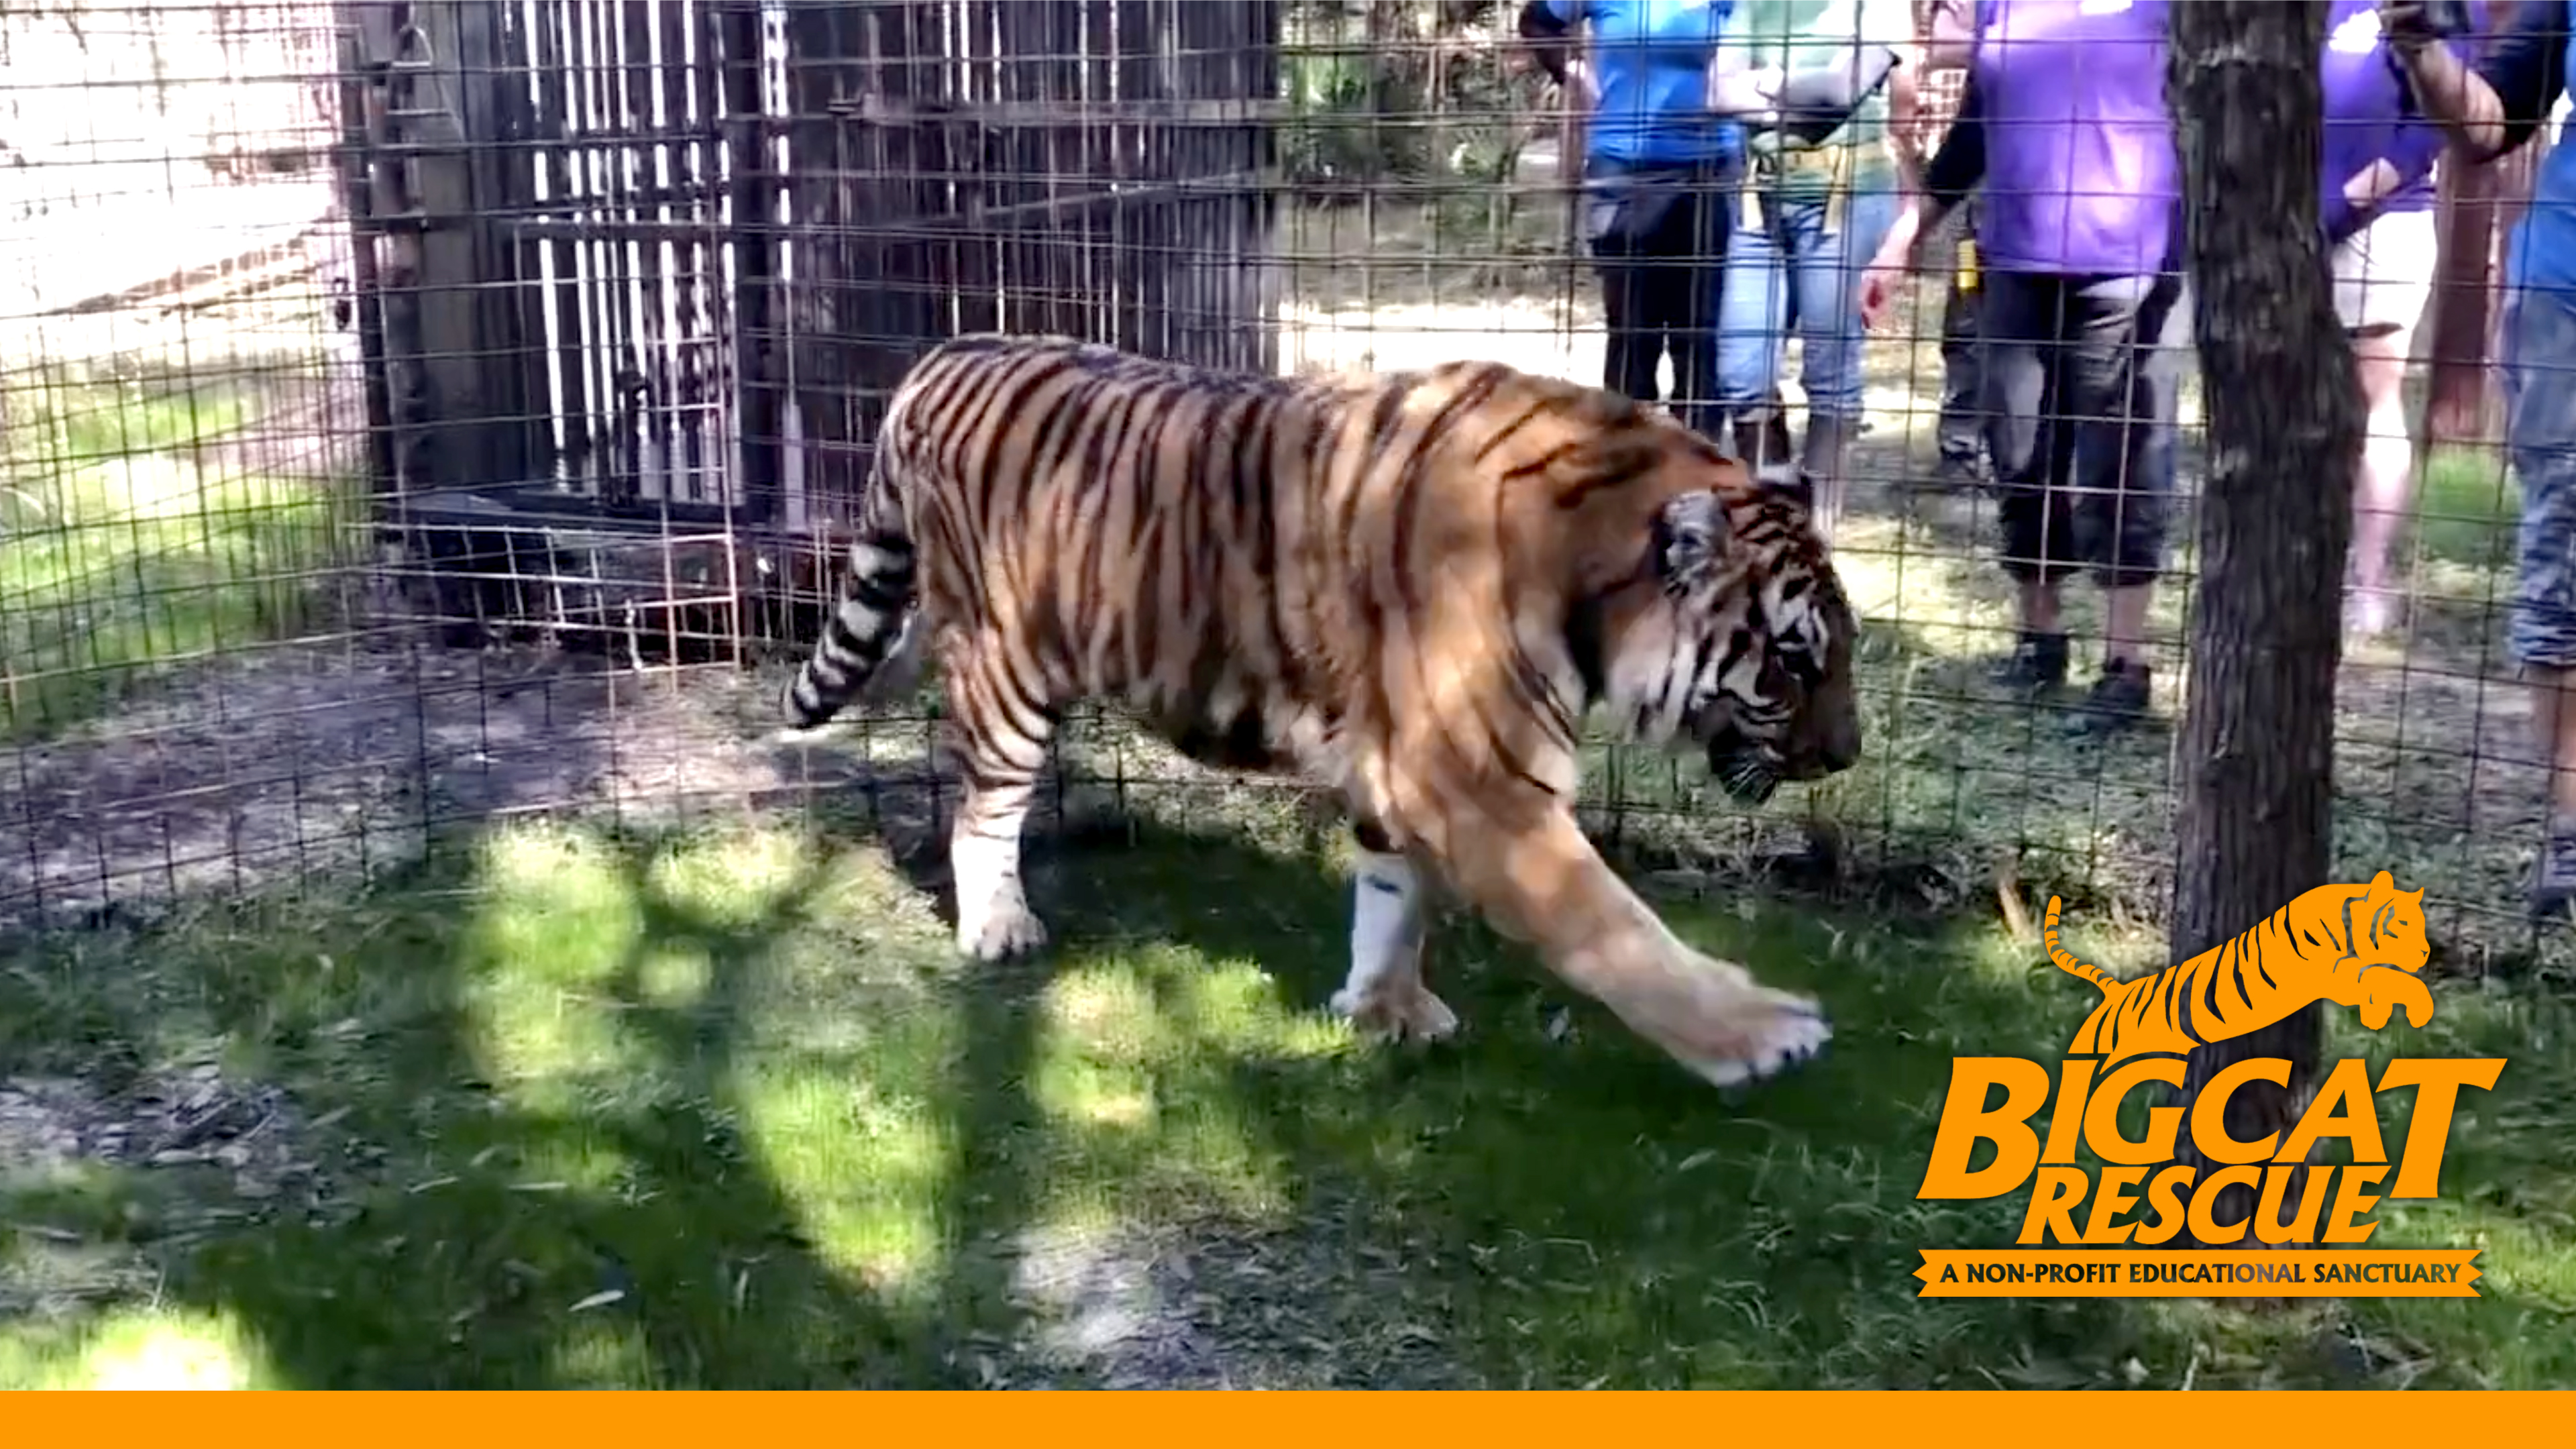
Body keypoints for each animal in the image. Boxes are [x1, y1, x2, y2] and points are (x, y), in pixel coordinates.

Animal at [778, 332, 1863, 1093]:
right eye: (1795, 660)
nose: (1848, 756)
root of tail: (940, 358)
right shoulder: (1485, 783)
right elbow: (1613, 927)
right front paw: (1763, 1035)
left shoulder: (1405, 768)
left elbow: (1394, 898)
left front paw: (1383, 1009)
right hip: (1012, 668)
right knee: (981, 812)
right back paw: (999, 926)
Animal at [2042, 872, 2434, 1064]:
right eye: (2403, 924)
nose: (2426, 953)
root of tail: (2116, 990)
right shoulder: (2333, 971)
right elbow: (2387, 976)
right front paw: (2419, 1007)